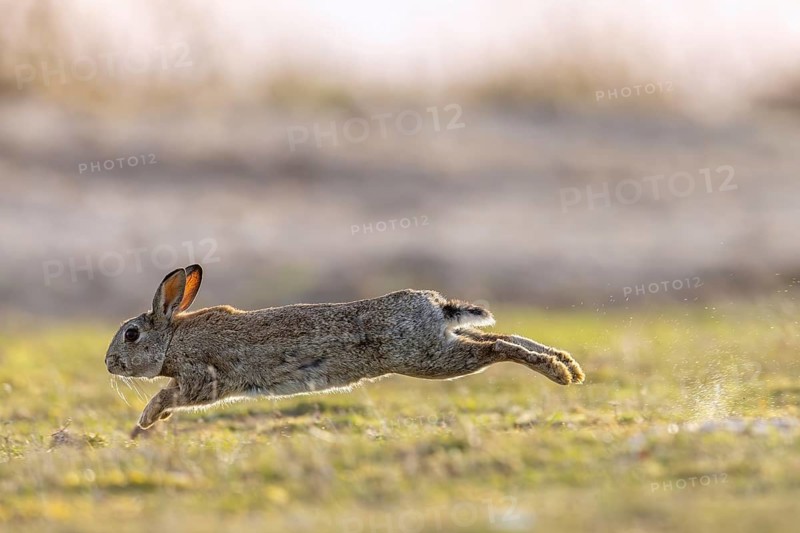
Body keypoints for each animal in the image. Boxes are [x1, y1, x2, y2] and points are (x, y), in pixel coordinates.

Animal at [105, 265, 585, 437]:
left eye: (131, 335)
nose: (108, 364)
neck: (173, 338)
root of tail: (434, 304)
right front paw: (153, 422)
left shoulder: (202, 378)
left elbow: (171, 394)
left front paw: (147, 419)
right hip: (440, 346)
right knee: (503, 338)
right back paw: (571, 368)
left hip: (426, 359)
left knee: (498, 346)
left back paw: (558, 373)